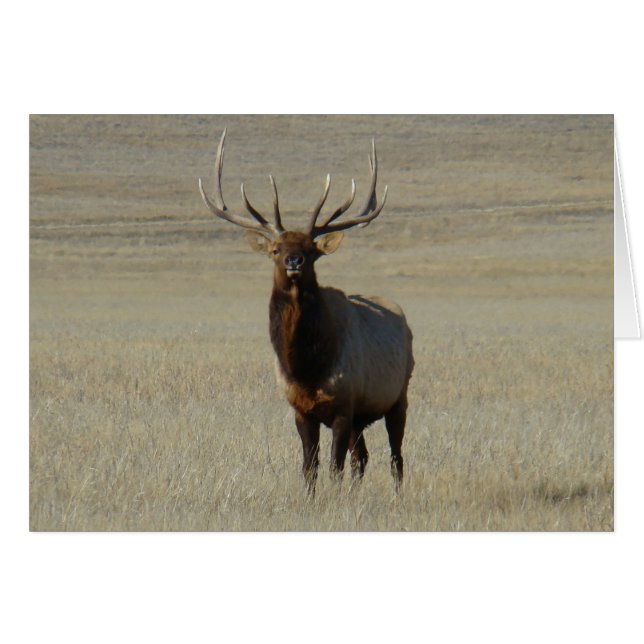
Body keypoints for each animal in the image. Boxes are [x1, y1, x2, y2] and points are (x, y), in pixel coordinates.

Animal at [199, 130, 414, 494]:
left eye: (312, 250)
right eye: (276, 249)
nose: (294, 260)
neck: (307, 368)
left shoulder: (343, 406)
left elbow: (334, 468)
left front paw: (334, 499)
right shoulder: (301, 410)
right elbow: (309, 467)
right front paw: (312, 499)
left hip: (399, 395)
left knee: (395, 457)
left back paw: (398, 495)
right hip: (362, 417)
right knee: (362, 457)